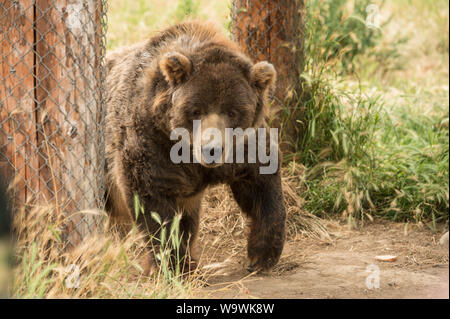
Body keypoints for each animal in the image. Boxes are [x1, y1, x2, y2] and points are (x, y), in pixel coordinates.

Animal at [105, 20, 286, 276]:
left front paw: (262, 253)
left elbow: (261, 183)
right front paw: (173, 263)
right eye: (195, 109)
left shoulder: (241, 147)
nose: (212, 149)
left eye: (233, 111)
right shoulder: (151, 142)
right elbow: (153, 202)